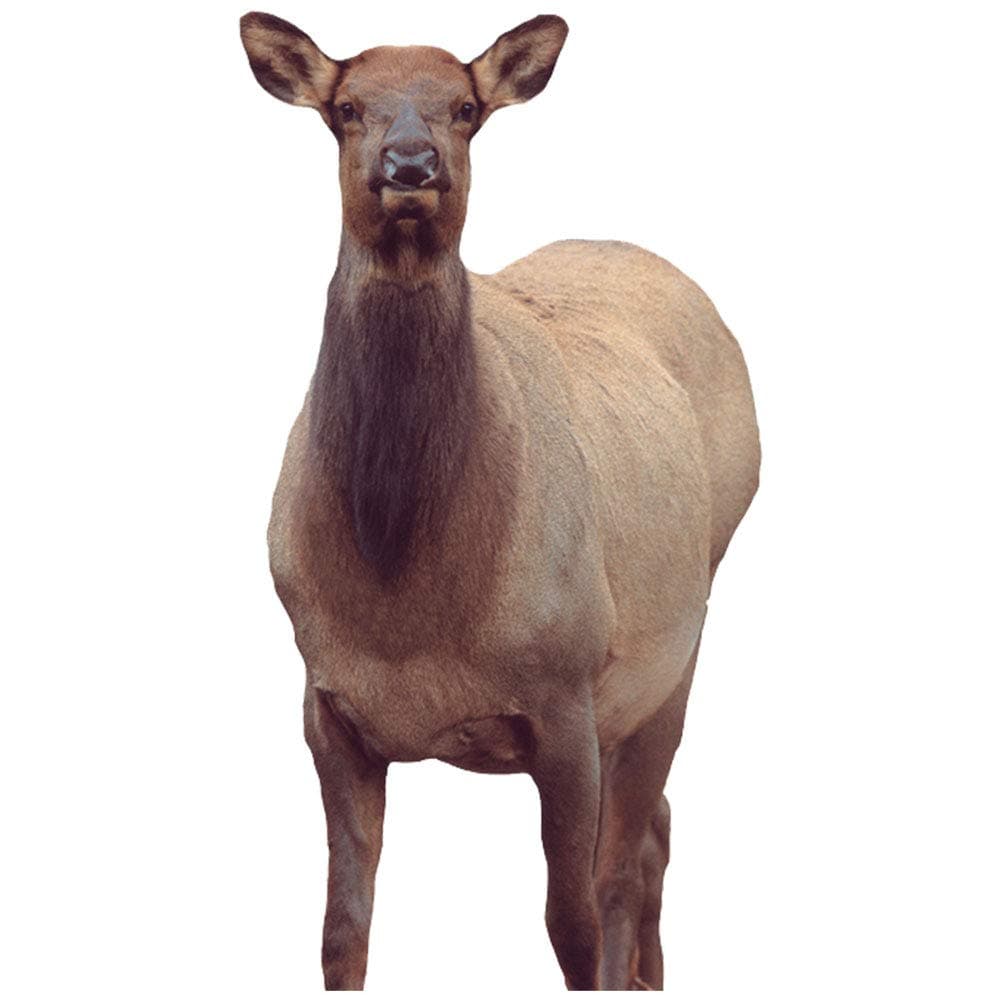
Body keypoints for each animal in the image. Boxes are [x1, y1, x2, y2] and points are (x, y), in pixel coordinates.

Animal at [239, 10, 759, 991]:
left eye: (467, 108)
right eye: (346, 108)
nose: (411, 166)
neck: (406, 606)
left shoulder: (565, 695)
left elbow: (573, 925)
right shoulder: (326, 704)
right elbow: (340, 933)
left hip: (673, 651)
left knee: (628, 862)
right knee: (660, 829)